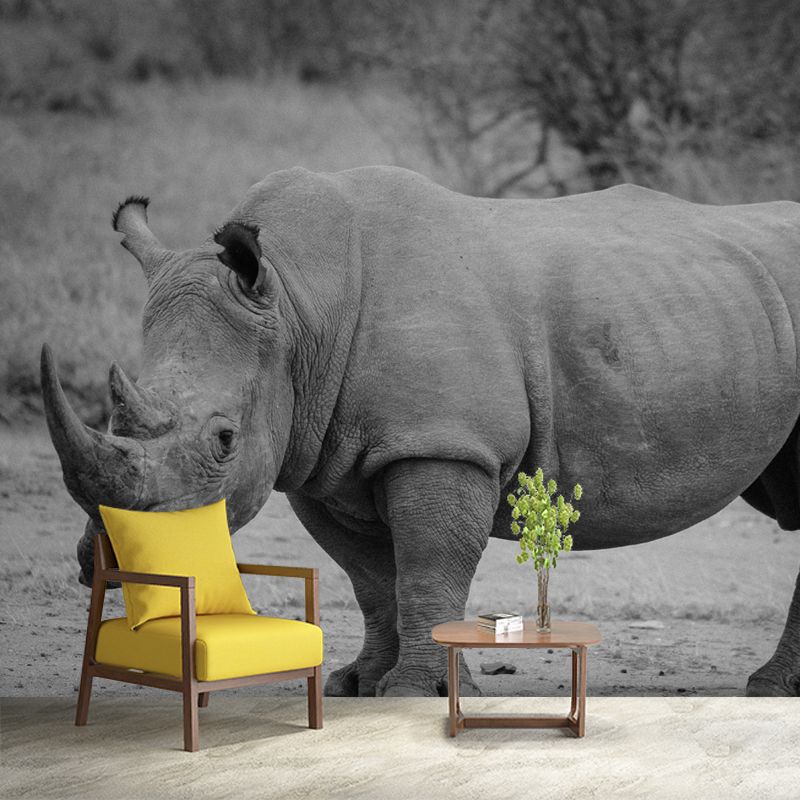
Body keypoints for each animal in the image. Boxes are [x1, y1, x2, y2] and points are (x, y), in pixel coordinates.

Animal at [42, 166, 800, 697]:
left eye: (224, 440)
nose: (111, 564)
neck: (298, 306)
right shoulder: (321, 459)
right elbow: (372, 579)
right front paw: (357, 684)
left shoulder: (443, 443)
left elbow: (429, 566)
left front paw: (413, 691)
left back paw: (767, 689)